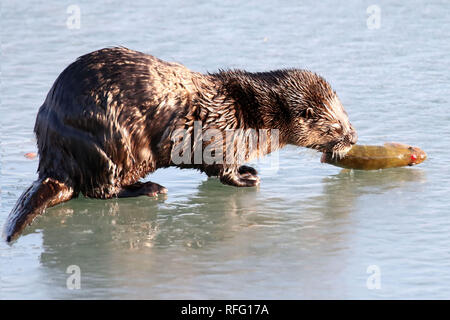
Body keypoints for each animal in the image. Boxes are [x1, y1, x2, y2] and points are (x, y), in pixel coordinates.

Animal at [2, 47, 356, 242]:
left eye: (348, 116)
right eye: (336, 125)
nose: (353, 137)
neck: (245, 111)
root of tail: (54, 162)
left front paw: (248, 168)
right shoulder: (220, 134)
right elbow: (221, 168)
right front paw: (246, 178)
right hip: (111, 145)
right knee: (99, 189)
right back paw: (150, 189)